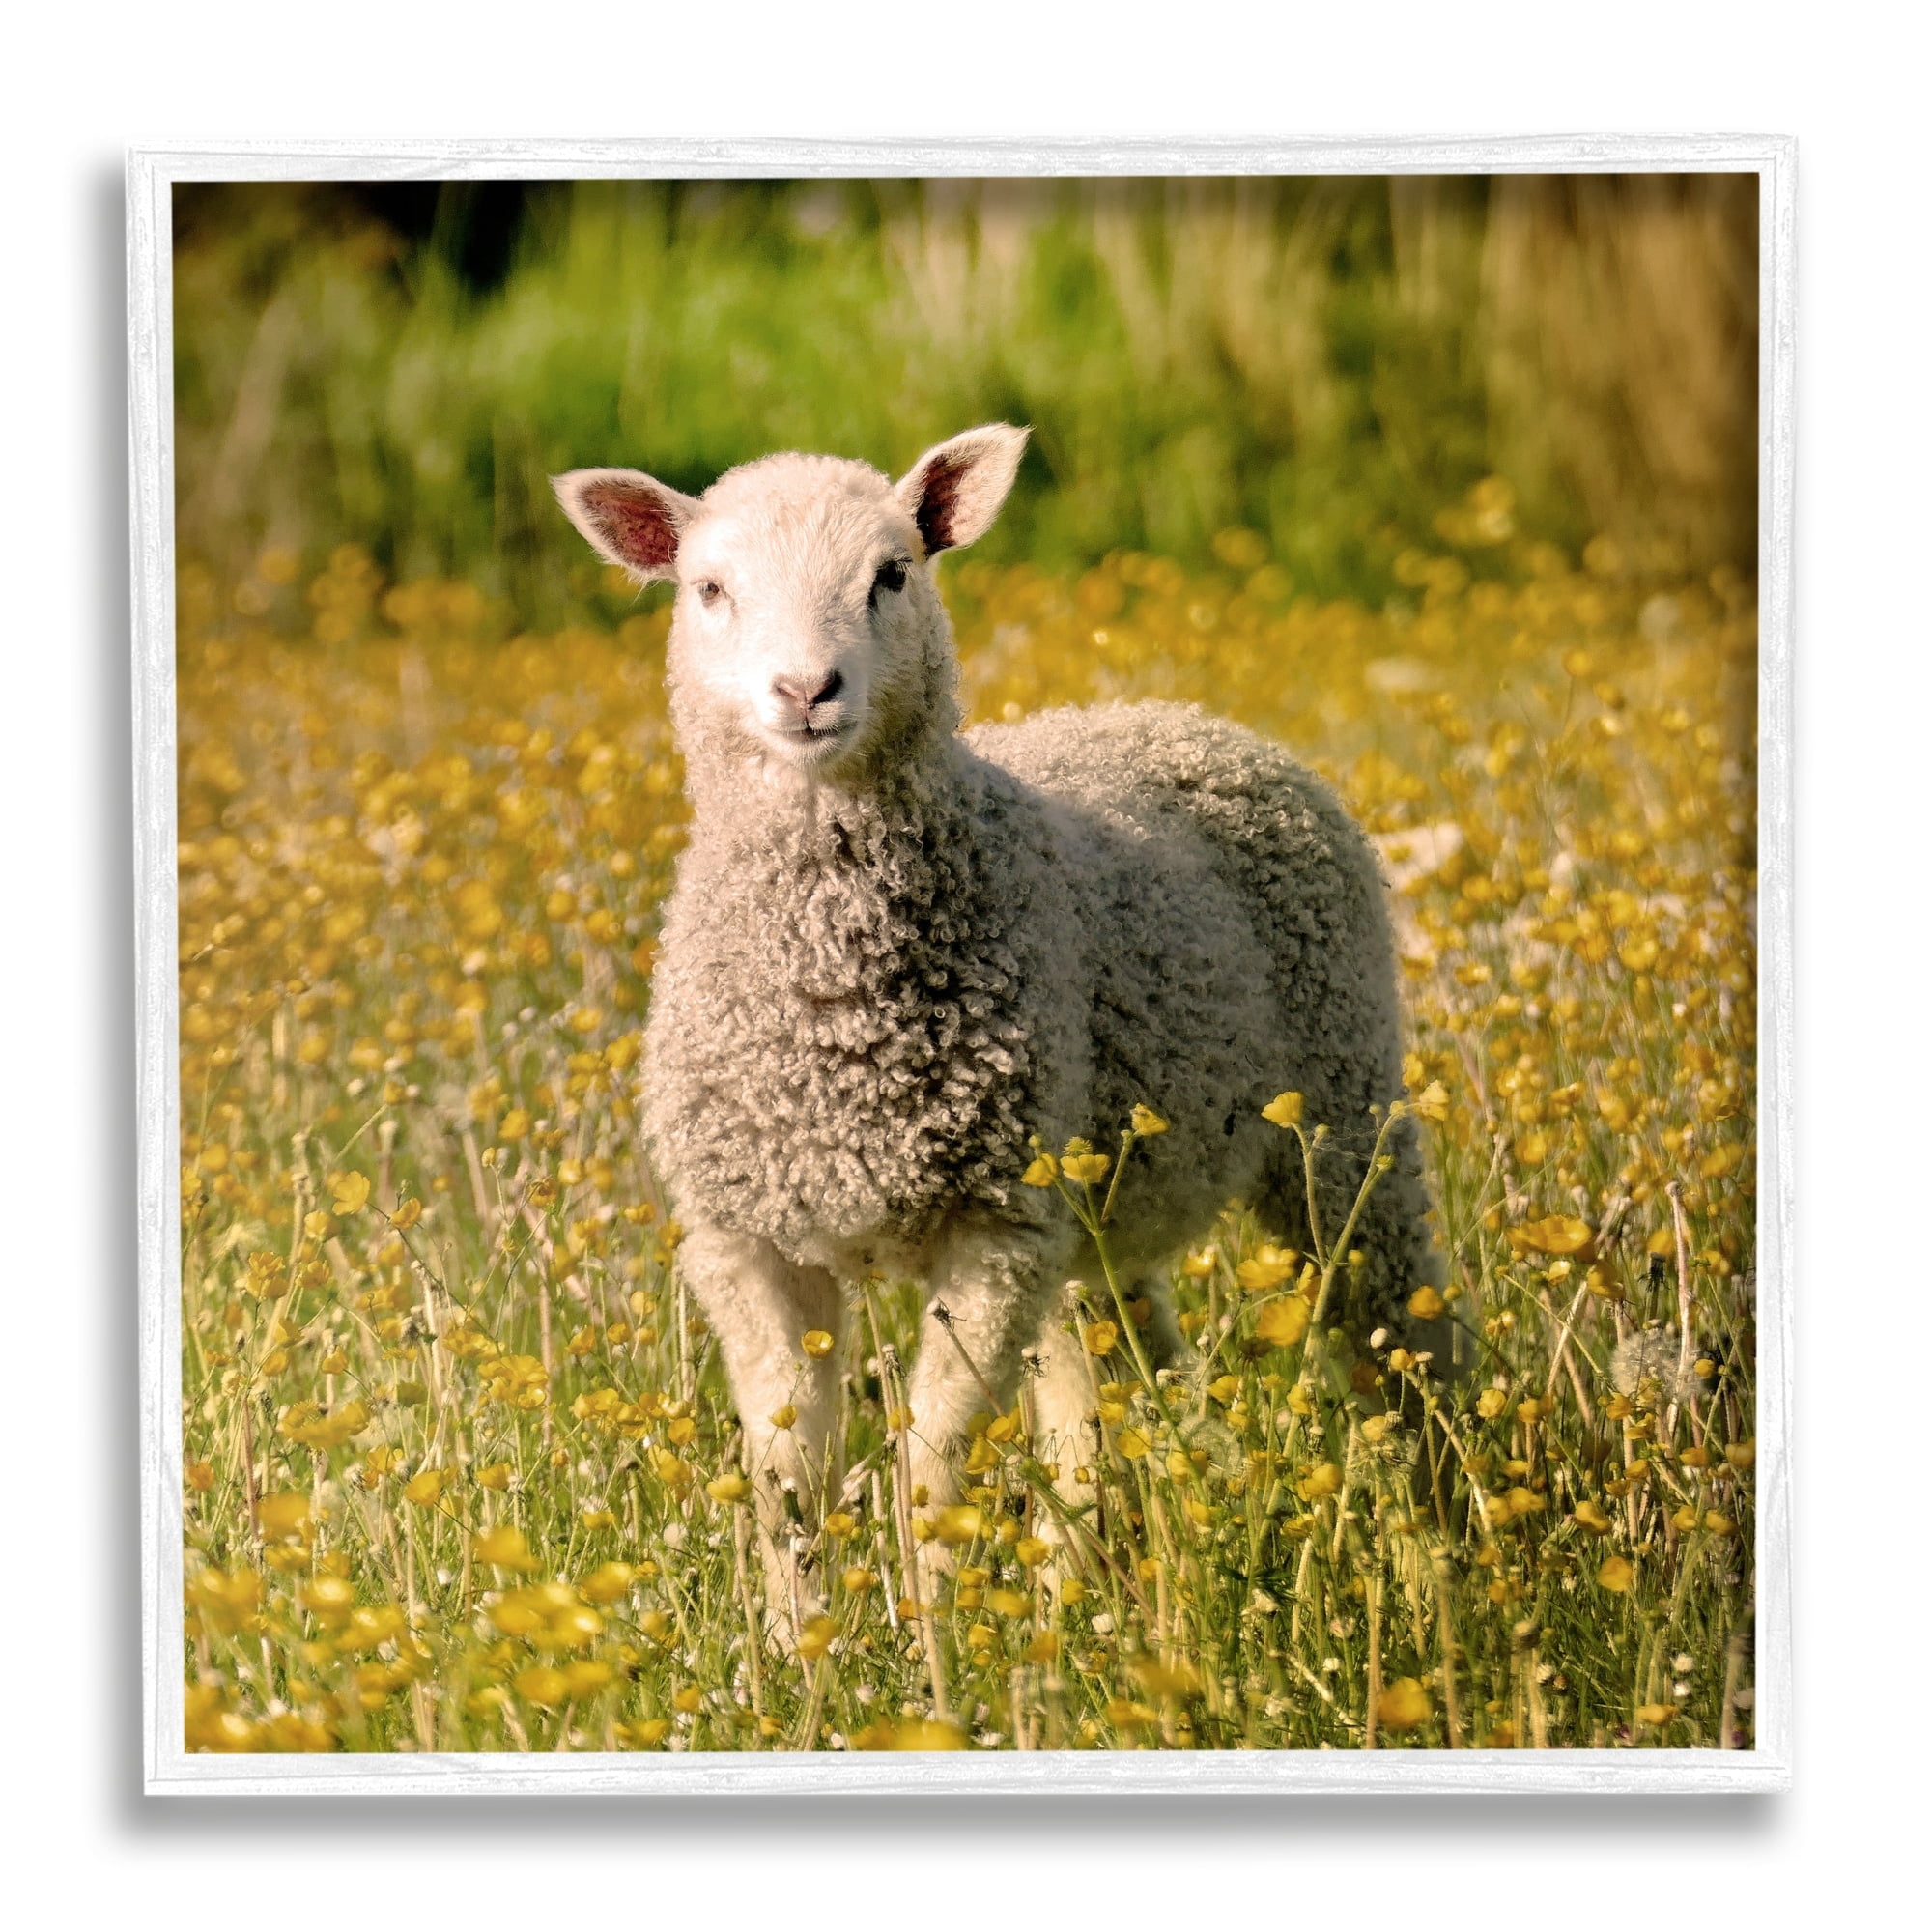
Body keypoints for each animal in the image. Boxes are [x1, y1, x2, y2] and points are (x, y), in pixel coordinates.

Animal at [554, 425, 1441, 1616]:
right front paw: (798, 1645)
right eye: (708, 588)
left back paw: (1447, 1547)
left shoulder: (992, 1227)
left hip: (1342, 1107)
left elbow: (932, 1463)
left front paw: (933, 1636)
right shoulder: (749, 1239)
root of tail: (1184, 716)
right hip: (1091, 1207)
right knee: (1113, 1387)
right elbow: (788, 1474)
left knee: (1402, 1337)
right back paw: (1107, 1597)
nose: (806, 689)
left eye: (892, 574)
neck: (835, 1018)